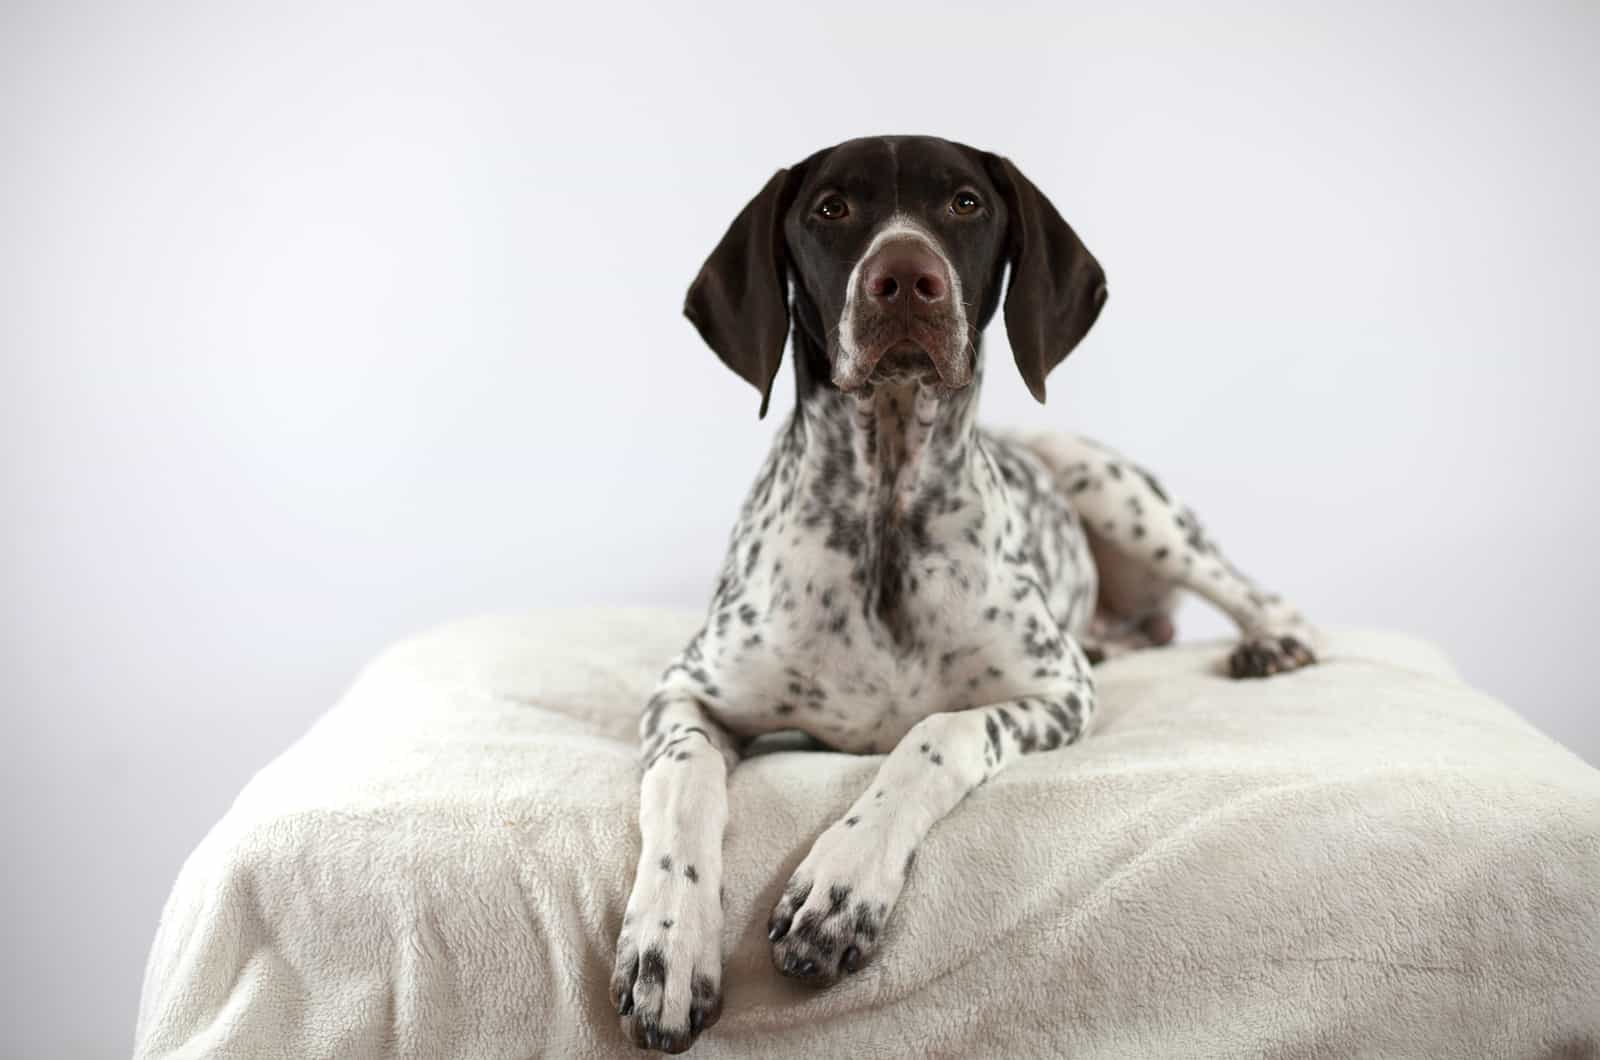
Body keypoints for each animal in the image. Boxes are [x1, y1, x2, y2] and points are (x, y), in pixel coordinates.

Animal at [604, 135, 1318, 1056]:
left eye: (966, 204)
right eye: (830, 208)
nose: (907, 277)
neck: (884, 512)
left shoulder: (1057, 693)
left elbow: (936, 733)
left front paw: (841, 884)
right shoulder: (685, 692)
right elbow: (684, 778)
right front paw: (666, 943)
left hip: (1118, 492)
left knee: (1247, 591)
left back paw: (1272, 640)